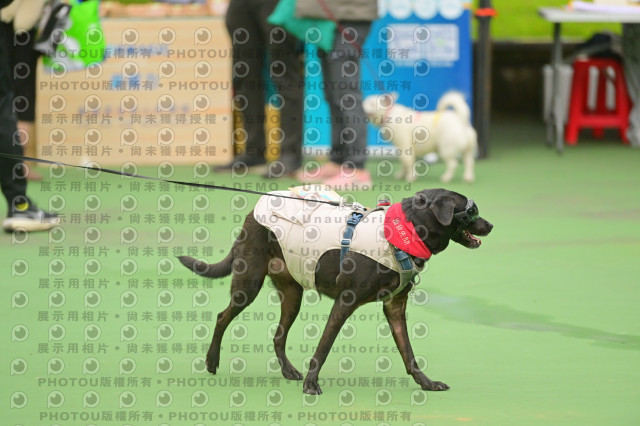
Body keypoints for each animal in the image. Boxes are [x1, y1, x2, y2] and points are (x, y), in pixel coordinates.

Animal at [178, 188, 493, 395]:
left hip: (292, 294)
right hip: (249, 284)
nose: (490, 225)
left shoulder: (395, 307)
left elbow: (409, 353)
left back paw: (288, 370)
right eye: (472, 211)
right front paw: (311, 384)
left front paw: (426, 383)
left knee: (278, 335)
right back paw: (212, 361)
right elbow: (324, 346)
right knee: (222, 317)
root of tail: (251, 214)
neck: (403, 233)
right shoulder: (344, 302)